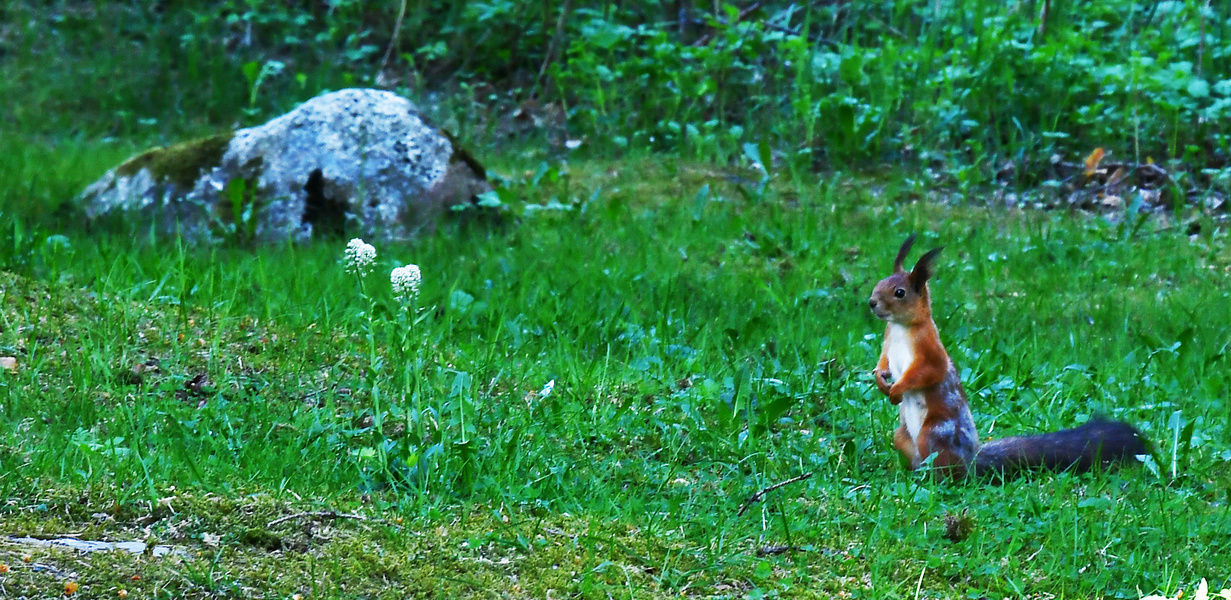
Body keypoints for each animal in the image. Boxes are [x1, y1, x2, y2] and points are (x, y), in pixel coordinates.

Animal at [866, 235, 1142, 478]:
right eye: (879, 282)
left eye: (899, 292)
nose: (872, 303)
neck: (901, 328)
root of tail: (971, 460)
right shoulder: (888, 340)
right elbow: (884, 361)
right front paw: (880, 378)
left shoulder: (930, 350)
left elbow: (927, 372)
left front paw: (897, 389)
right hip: (902, 436)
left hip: (933, 433)